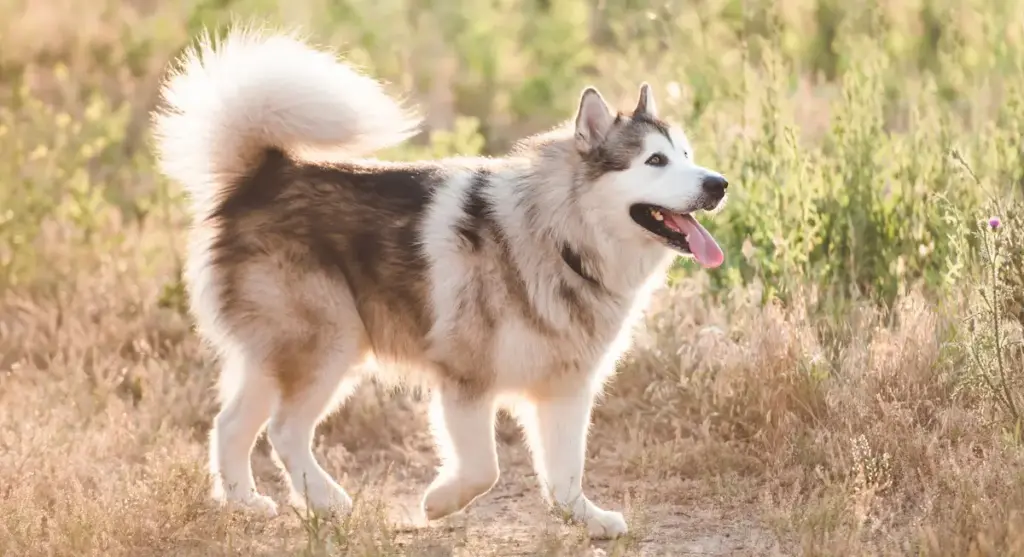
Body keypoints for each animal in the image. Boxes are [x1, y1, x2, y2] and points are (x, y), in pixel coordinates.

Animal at [151, 26, 729, 540]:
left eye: (686, 155)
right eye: (655, 160)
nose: (718, 183)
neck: (560, 239)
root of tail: (265, 176)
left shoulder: (565, 390)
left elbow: (565, 473)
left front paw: (585, 520)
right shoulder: (465, 381)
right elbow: (484, 470)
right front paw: (438, 503)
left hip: (279, 355)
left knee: (231, 425)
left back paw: (245, 504)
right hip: (329, 343)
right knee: (284, 430)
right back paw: (328, 502)